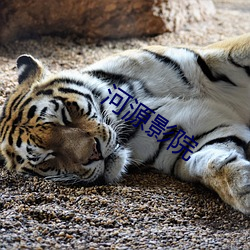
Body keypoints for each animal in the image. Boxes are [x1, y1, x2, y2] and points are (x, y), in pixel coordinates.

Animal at [0, 33, 250, 214]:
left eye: (64, 115)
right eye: (48, 158)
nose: (95, 153)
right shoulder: (189, 137)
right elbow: (211, 162)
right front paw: (243, 188)